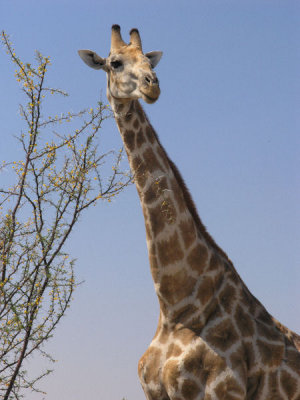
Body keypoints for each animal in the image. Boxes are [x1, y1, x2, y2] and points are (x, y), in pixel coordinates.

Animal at [79, 25, 300, 400]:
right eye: (115, 62)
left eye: (147, 59)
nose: (152, 84)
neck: (175, 303)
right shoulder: (155, 392)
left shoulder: (221, 390)